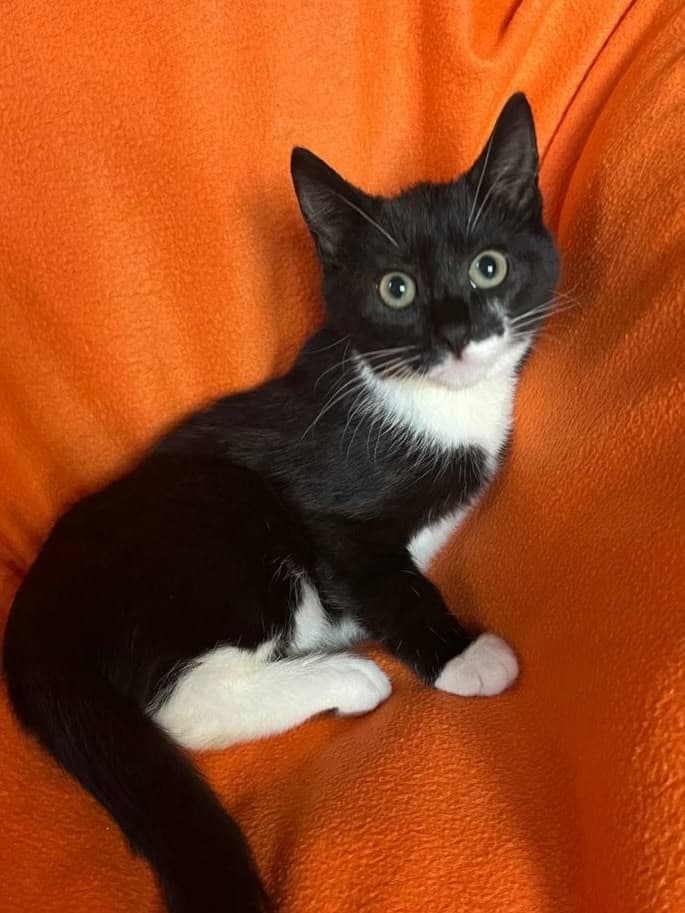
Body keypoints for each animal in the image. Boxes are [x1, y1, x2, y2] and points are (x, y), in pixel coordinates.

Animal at [3, 92, 559, 913]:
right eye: (396, 288)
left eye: (488, 267)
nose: (458, 333)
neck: (427, 403)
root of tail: (36, 603)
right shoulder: (334, 514)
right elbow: (386, 579)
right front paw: (464, 656)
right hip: (221, 517)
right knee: (176, 703)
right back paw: (347, 677)